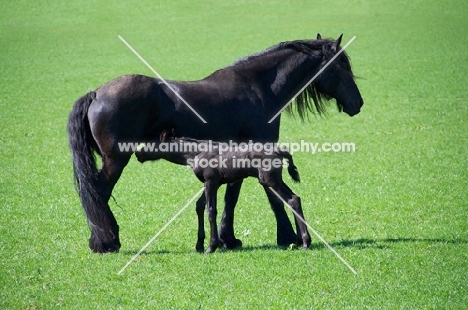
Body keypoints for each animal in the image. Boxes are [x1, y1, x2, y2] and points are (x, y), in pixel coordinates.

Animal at [135, 131, 308, 254]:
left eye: (151, 143)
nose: (137, 154)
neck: (196, 153)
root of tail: (279, 151)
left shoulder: (210, 181)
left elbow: (211, 211)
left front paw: (211, 247)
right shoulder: (213, 183)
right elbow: (199, 205)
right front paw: (199, 244)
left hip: (269, 181)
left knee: (292, 199)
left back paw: (305, 241)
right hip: (275, 181)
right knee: (296, 198)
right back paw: (301, 240)